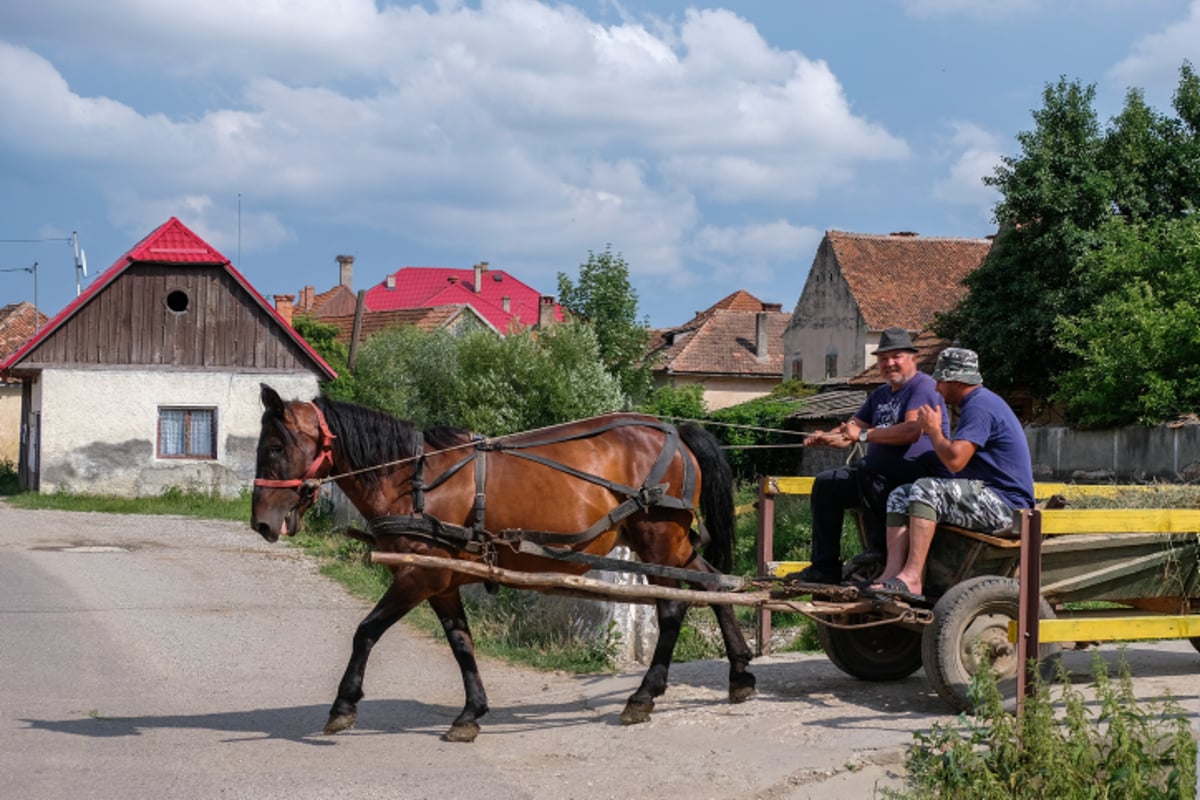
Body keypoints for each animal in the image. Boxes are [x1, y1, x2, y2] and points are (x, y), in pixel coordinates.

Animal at [250, 383, 758, 743]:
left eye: (274, 447)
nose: (260, 522)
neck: (410, 479)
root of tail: (674, 431)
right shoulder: (443, 581)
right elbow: (461, 644)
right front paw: (471, 713)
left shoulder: (419, 574)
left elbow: (366, 631)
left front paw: (343, 706)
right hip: (669, 543)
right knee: (712, 583)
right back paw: (740, 675)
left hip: (658, 540)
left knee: (673, 607)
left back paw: (643, 695)